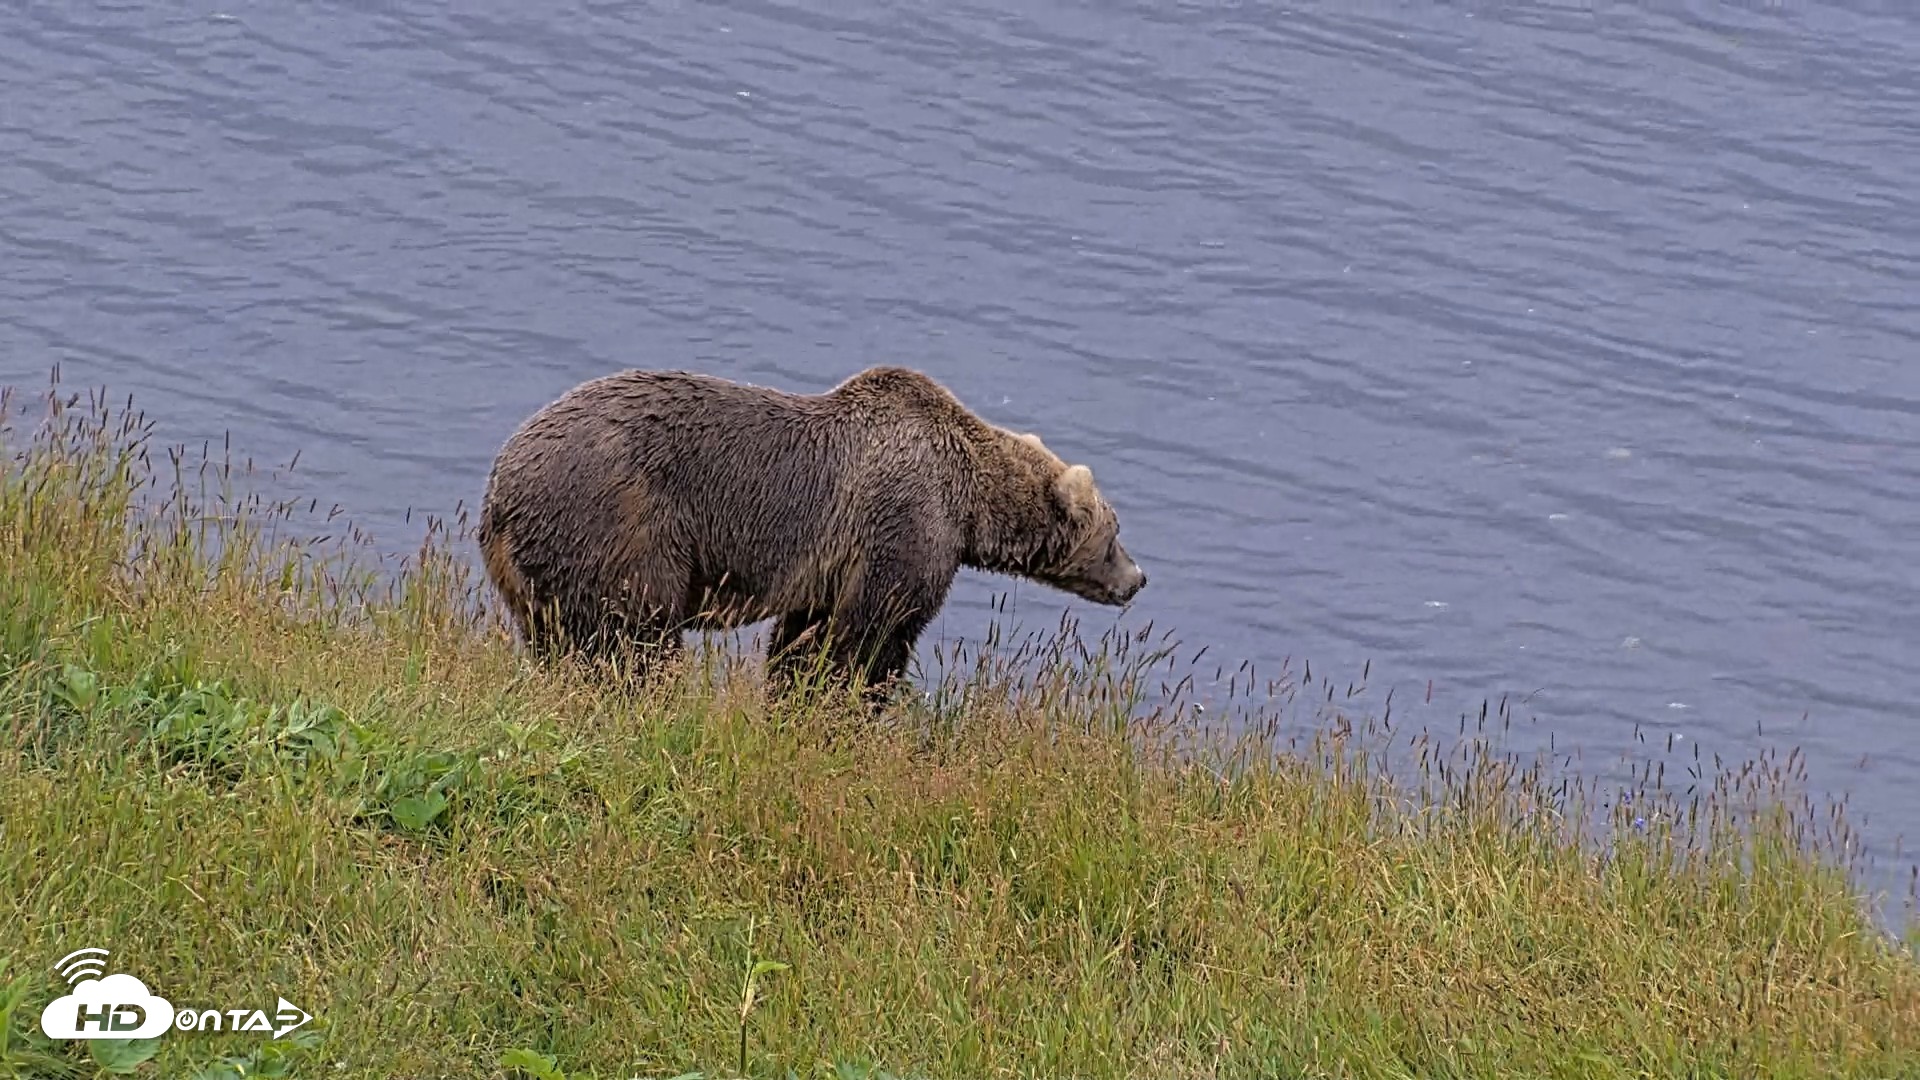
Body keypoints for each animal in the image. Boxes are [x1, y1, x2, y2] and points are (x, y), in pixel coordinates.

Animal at [476, 364, 1148, 699]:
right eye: (1115, 533)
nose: (1138, 578)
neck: (969, 502)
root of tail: (499, 493)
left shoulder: (831, 562)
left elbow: (807, 634)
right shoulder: (905, 522)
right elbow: (873, 632)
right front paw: (853, 702)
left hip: (539, 574)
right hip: (619, 521)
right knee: (633, 637)